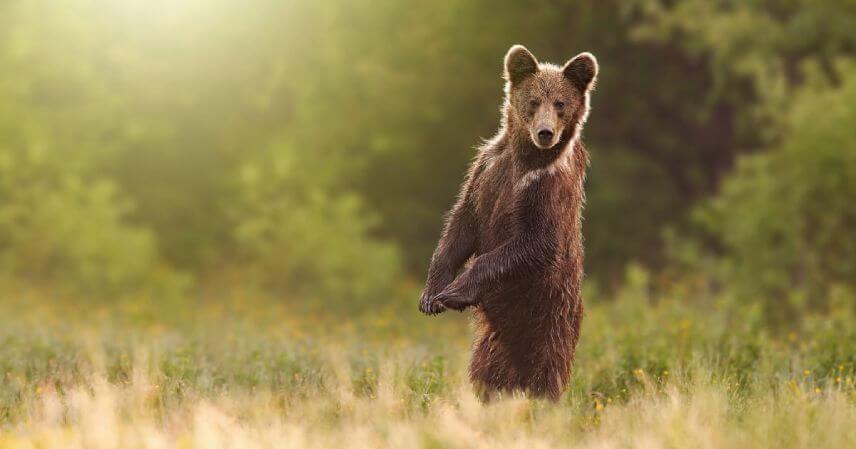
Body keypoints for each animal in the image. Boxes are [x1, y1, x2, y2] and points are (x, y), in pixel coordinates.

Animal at [420, 45, 596, 400]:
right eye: (533, 100)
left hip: (549, 314)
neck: (525, 156)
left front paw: (455, 292)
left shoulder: (545, 187)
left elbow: (534, 242)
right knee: (487, 370)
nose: (545, 133)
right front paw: (432, 294)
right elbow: (462, 224)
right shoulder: (485, 171)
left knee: (544, 367)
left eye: (561, 103)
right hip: (493, 342)